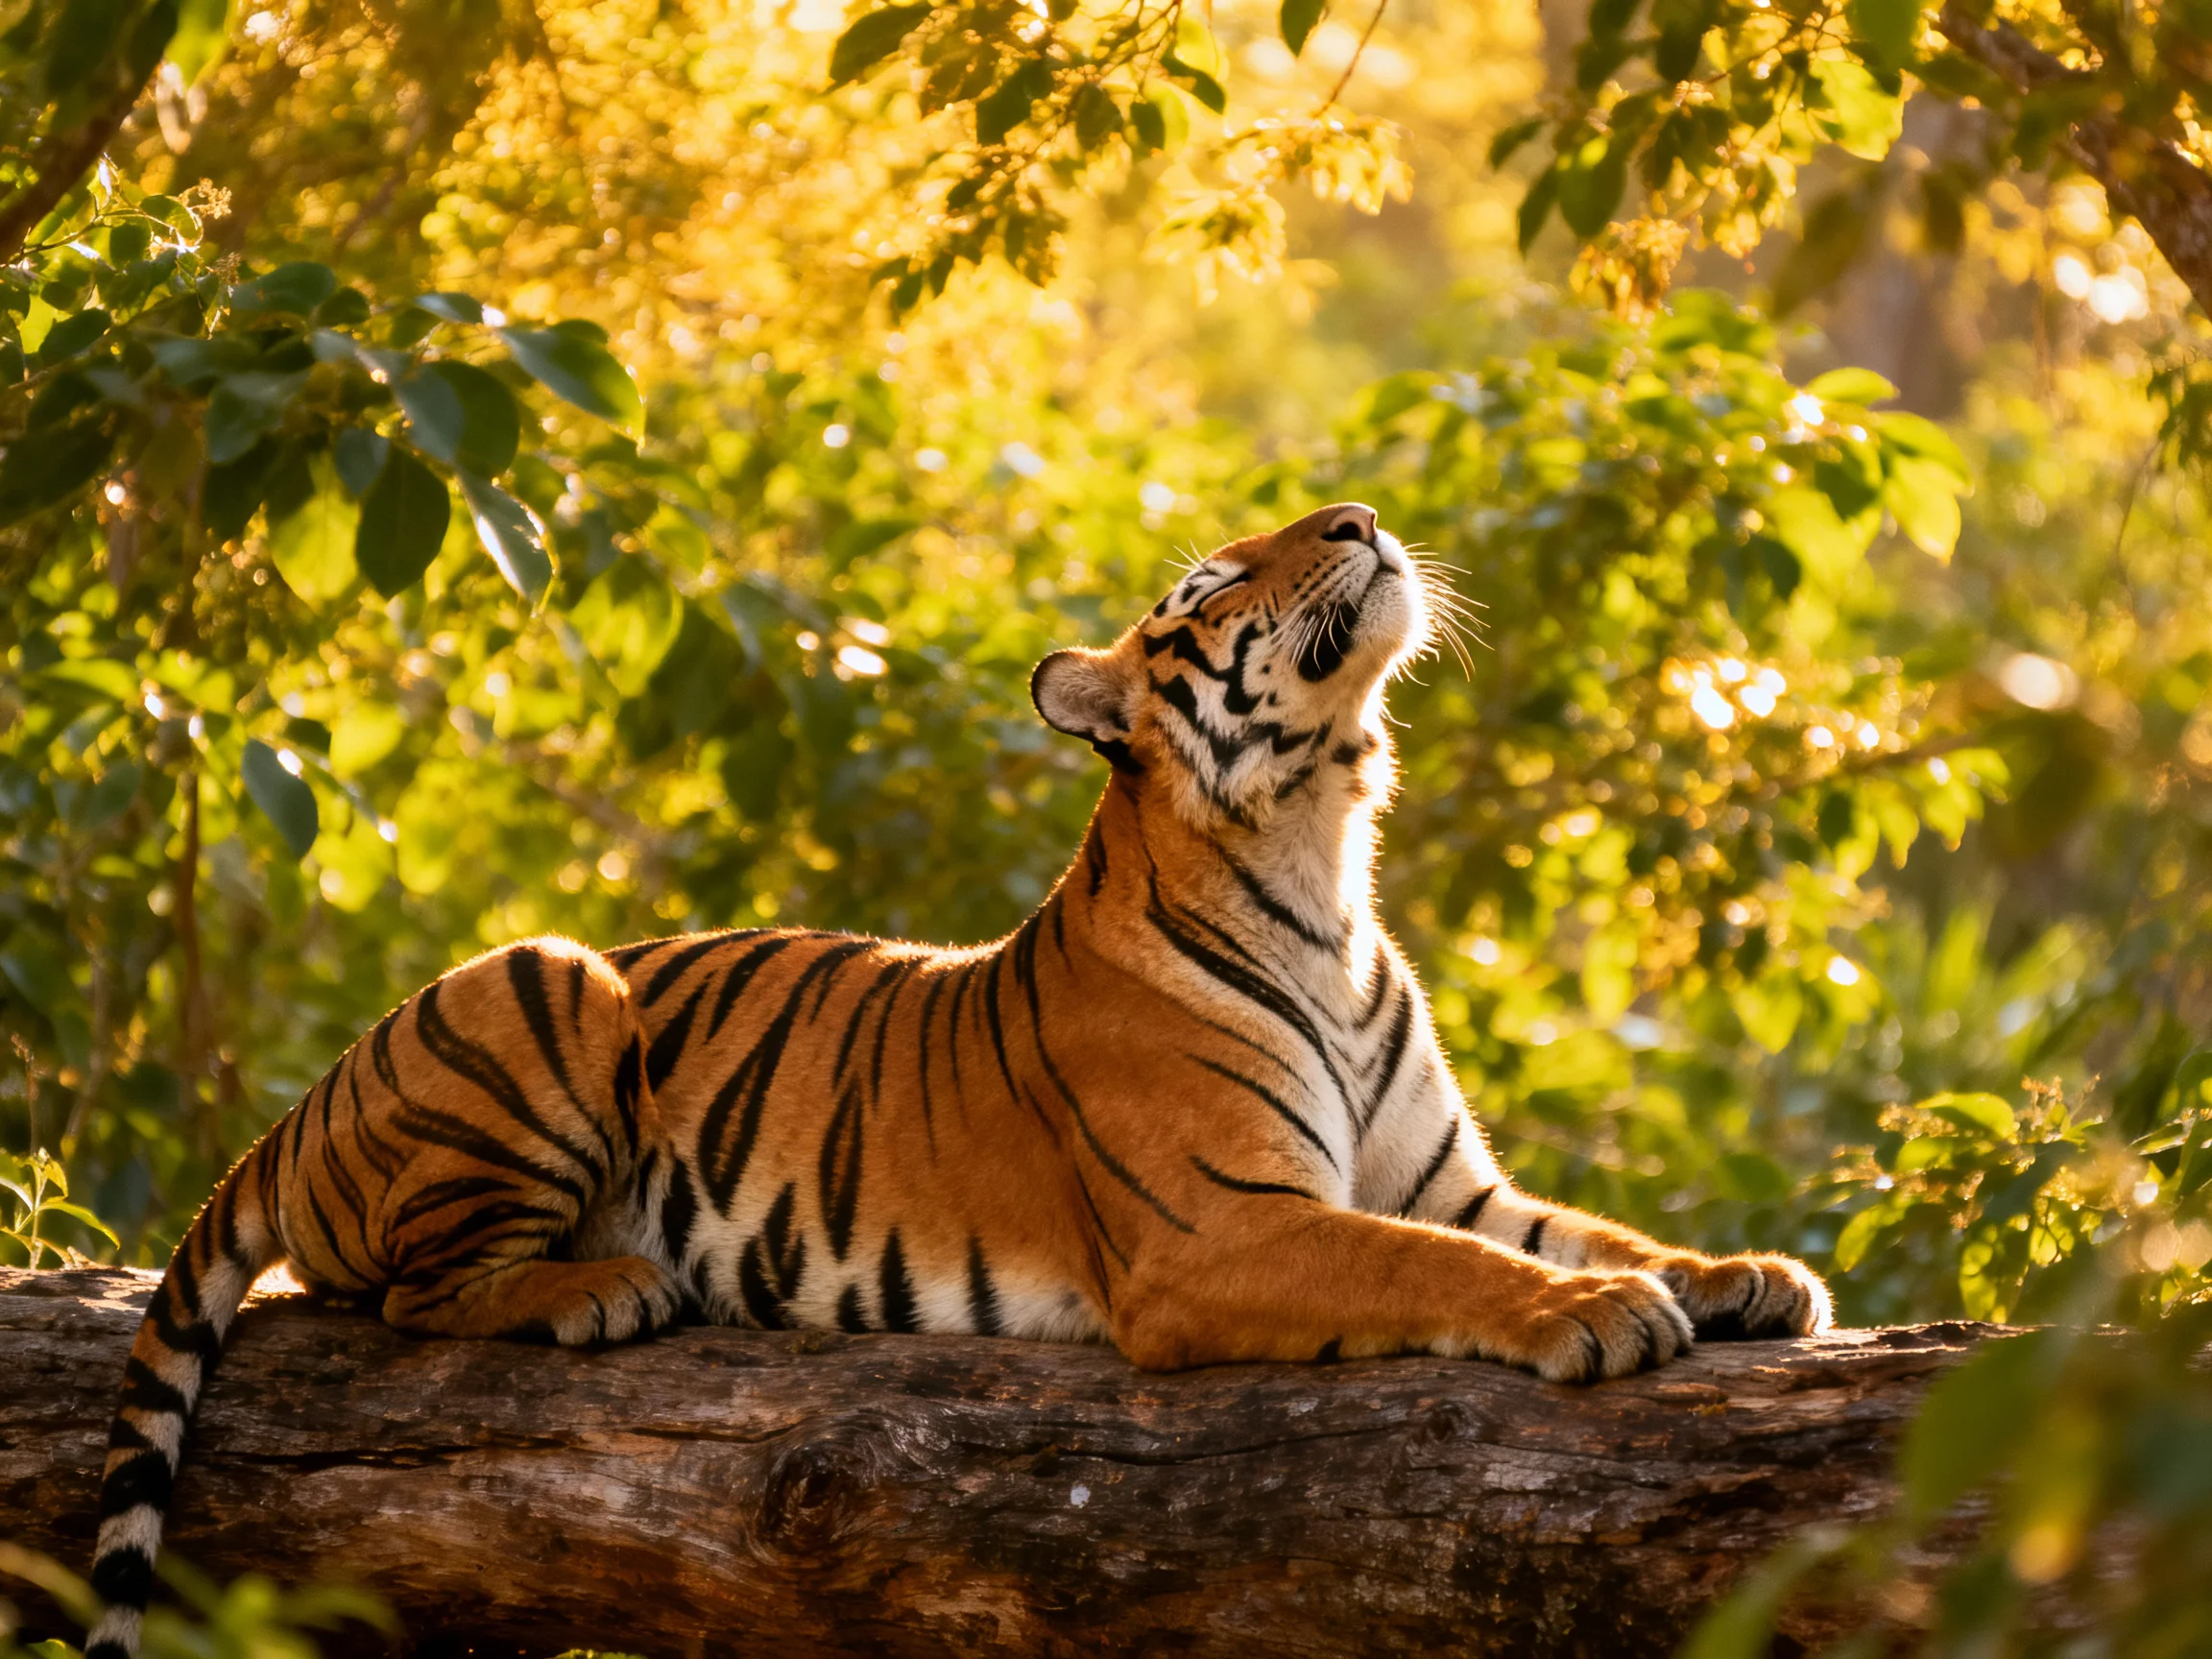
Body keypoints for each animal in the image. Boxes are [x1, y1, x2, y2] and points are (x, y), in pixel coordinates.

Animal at [84, 501, 1830, 1657]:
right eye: (1212, 584)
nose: (1357, 515)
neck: (1322, 855)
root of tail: (295, 1111)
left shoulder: (1447, 1176)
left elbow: (1579, 1226)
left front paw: (1746, 1276)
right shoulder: (1221, 1228)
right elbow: (1435, 1268)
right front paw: (1594, 1318)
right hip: (555, 974)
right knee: (404, 1289)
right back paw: (603, 1288)